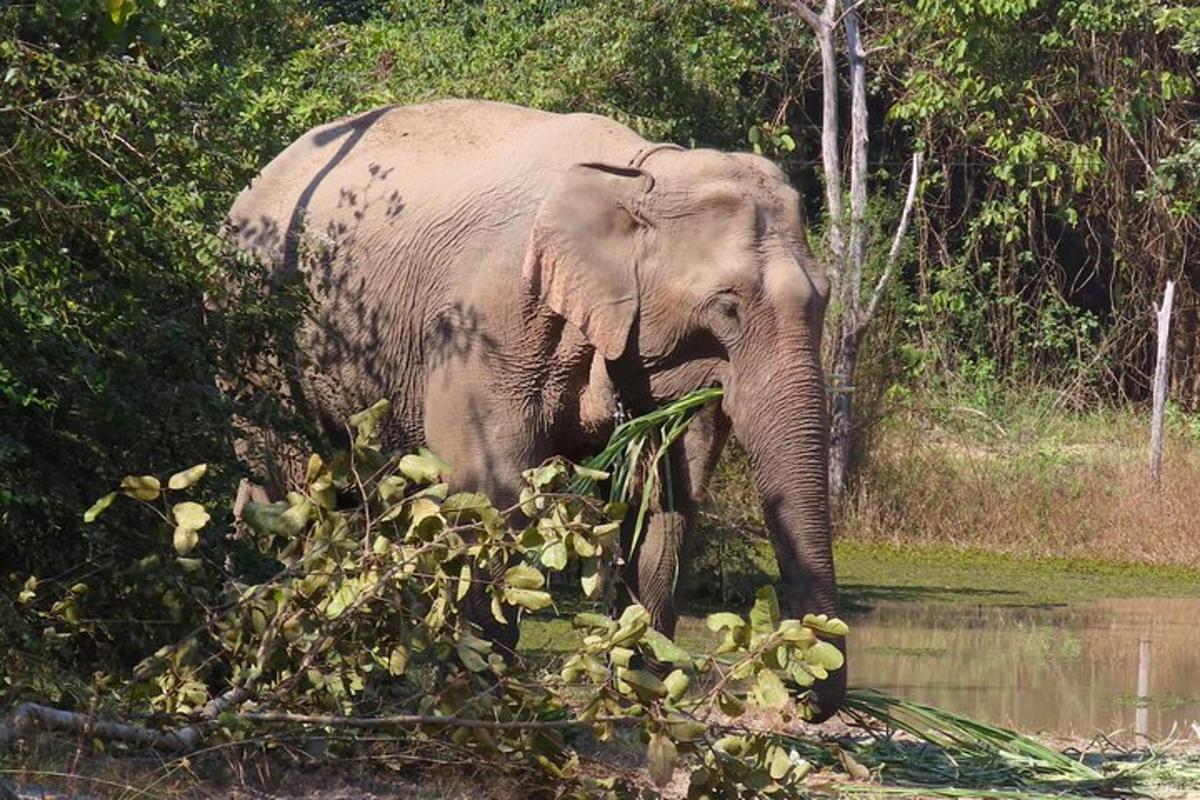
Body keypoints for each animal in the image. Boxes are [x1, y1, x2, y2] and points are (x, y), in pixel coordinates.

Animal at [225, 98, 844, 719]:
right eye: (727, 305)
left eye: (825, 298)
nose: (802, 697)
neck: (638, 172)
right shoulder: (489, 323)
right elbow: (492, 491)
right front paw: (481, 699)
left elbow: (663, 500)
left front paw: (643, 697)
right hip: (261, 348)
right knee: (289, 486)